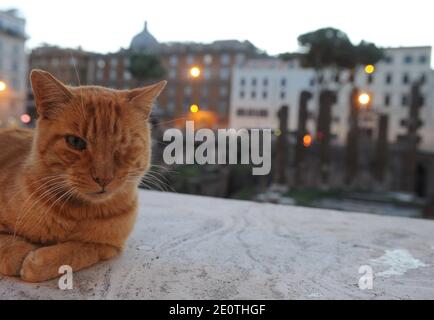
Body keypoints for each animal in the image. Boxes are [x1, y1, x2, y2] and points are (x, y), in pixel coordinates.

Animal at [0, 70, 166, 282]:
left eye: (124, 143)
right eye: (75, 142)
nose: (104, 178)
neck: (76, 213)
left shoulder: (108, 246)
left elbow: (78, 251)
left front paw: (39, 261)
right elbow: (7, 243)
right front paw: (19, 253)